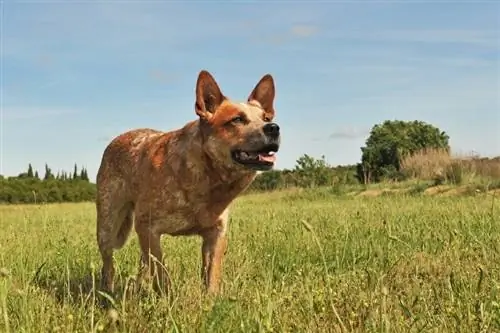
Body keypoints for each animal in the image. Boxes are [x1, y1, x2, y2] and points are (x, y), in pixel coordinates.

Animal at [94, 69, 282, 296]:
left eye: (266, 118)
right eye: (237, 119)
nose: (273, 128)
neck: (209, 181)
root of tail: (117, 139)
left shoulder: (216, 234)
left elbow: (212, 273)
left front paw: (212, 298)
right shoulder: (148, 227)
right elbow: (162, 272)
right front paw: (167, 298)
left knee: (143, 262)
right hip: (107, 225)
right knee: (109, 264)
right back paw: (107, 292)